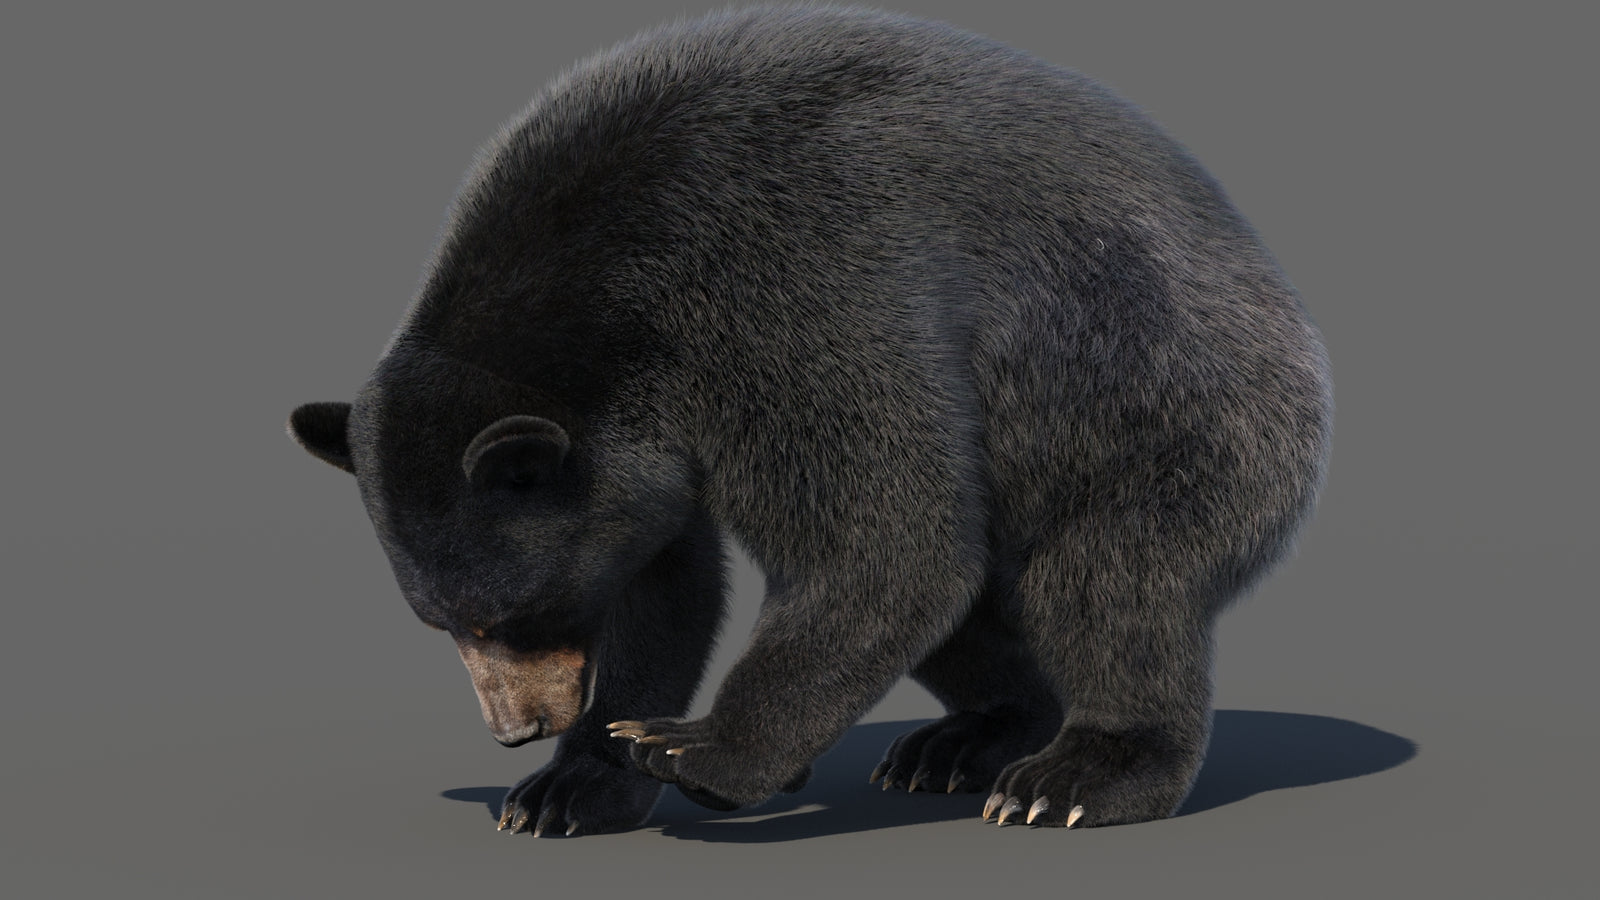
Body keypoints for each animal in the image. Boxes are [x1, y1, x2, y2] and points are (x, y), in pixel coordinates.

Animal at [289, 4, 1332, 836]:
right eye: (439, 621)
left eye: (511, 614)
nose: (515, 730)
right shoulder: (641, 431)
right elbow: (664, 582)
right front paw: (568, 788)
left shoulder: (788, 288)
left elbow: (883, 536)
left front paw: (690, 747)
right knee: (976, 611)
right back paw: (966, 741)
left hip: (1167, 405)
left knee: (1109, 581)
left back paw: (1074, 775)